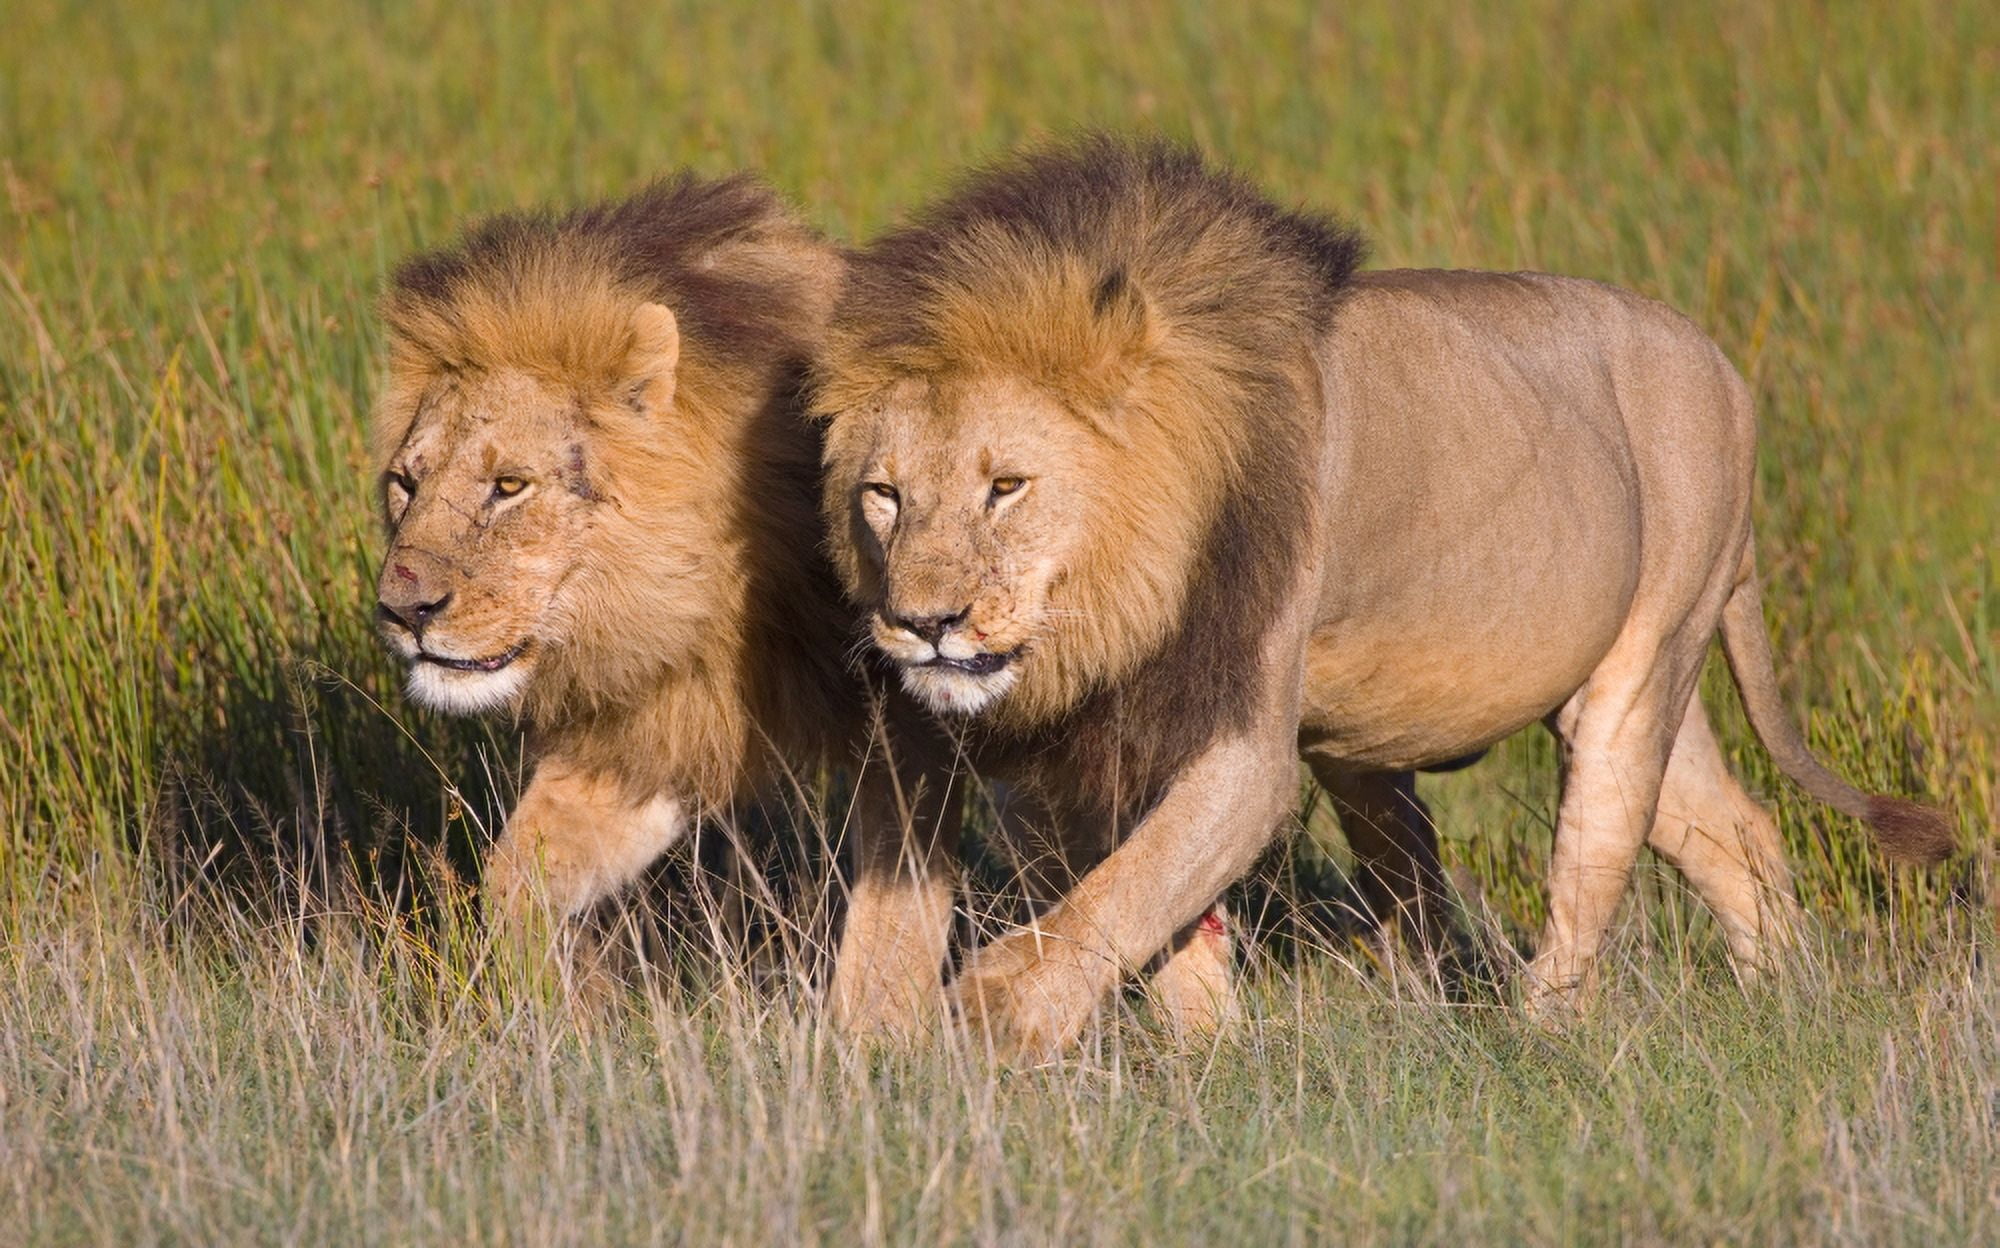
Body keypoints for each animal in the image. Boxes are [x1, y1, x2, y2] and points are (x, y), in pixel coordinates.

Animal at [814, 137, 1955, 1057]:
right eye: (884, 495)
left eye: (1006, 486)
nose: (922, 626)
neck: (1118, 604)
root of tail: (1716, 358)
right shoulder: (1076, 743)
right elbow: (1149, 906)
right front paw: (1206, 1058)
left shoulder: (1247, 741)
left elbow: (1132, 889)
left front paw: (992, 1025)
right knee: (1735, 831)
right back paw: (1789, 1003)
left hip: (1646, 656)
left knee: (1593, 849)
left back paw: (1535, 1038)